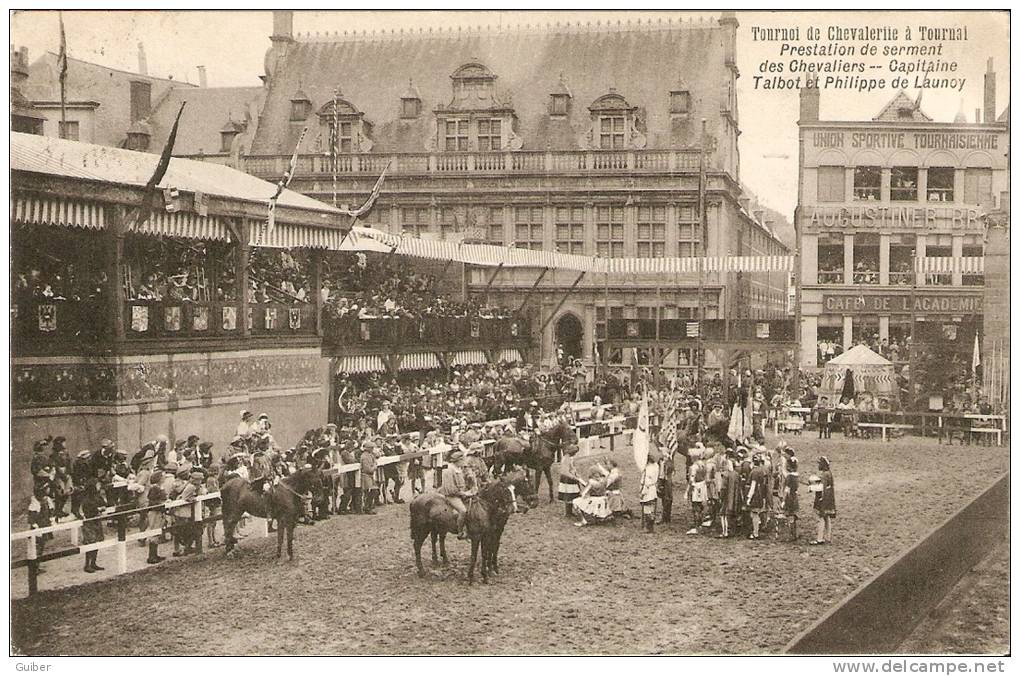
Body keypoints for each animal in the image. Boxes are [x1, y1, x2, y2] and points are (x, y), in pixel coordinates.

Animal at [408, 471, 538, 587]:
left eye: (514, 490)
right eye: (506, 490)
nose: (514, 508)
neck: (484, 508)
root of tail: (415, 499)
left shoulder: (489, 534)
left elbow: (486, 553)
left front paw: (486, 575)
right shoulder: (478, 536)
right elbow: (475, 556)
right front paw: (472, 576)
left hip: (436, 527)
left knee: (436, 540)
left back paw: (439, 562)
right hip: (422, 529)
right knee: (418, 545)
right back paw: (422, 571)